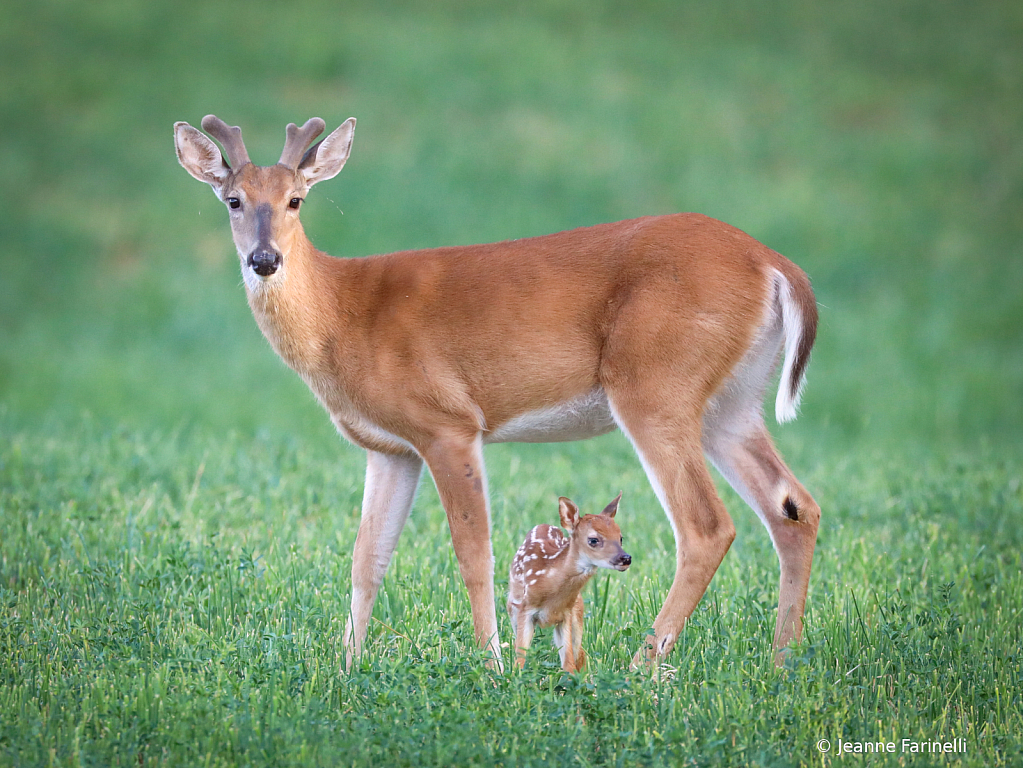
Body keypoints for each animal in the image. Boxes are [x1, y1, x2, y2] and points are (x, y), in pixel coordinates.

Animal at [171, 114, 818, 670]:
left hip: (655, 383)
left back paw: (643, 667)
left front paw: (493, 664)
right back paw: (780, 661)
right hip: (731, 404)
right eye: (233, 200)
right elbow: (366, 560)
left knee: (707, 525)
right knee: (794, 508)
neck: (343, 314)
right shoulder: (390, 447)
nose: (265, 259)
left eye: (295, 200)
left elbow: (472, 554)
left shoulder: (448, 423)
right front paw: (345, 669)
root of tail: (774, 263)